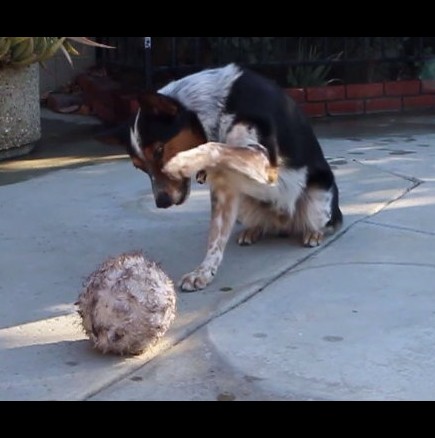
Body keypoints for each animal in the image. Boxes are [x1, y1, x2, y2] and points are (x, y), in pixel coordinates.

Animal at [127, 63, 344, 292]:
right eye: (139, 167)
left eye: (159, 150)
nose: (162, 202)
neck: (216, 108)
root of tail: (284, 223)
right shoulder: (225, 186)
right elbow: (215, 237)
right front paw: (203, 272)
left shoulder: (265, 162)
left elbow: (213, 146)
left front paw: (181, 161)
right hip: (245, 205)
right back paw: (252, 231)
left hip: (319, 197)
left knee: (329, 222)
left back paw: (314, 233)